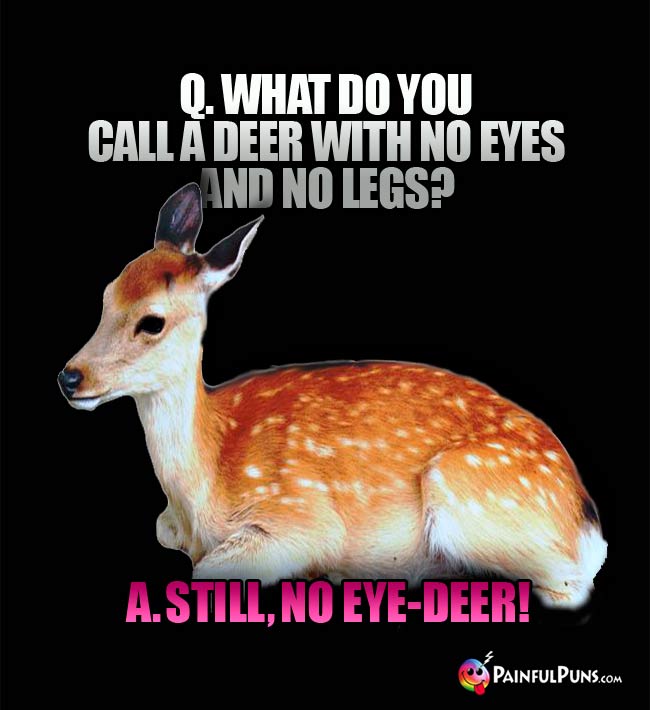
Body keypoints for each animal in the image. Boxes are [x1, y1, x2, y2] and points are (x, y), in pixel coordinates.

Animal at [58, 183, 607, 608]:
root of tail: (585, 518)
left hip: (464, 495)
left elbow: (210, 570)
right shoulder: (168, 525)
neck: (199, 490)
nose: (70, 377)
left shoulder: (302, 516)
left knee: (567, 585)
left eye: (152, 321)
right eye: (106, 296)